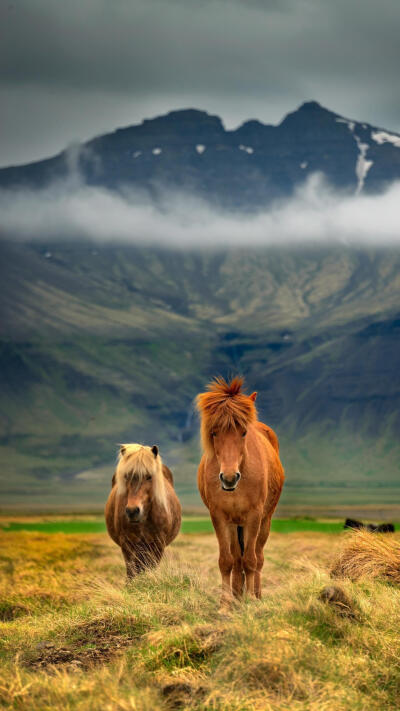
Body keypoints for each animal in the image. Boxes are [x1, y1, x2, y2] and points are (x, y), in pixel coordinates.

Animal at [105, 444, 182, 580]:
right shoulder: (127, 544)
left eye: (149, 476)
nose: (132, 511)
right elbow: (132, 572)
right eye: (126, 476)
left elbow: (151, 567)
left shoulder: (157, 545)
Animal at [196, 376, 284, 604]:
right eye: (214, 433)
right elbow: (227, 561)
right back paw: (236, 596)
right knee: (237, 558)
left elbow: (251, 560)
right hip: (235, 524)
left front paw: (251, 600)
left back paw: (256, 595)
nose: (229, 478)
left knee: (258, 557)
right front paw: (226, 603)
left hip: (264, 520)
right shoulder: (219, 516)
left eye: (243, 432)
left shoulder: (254, 516)